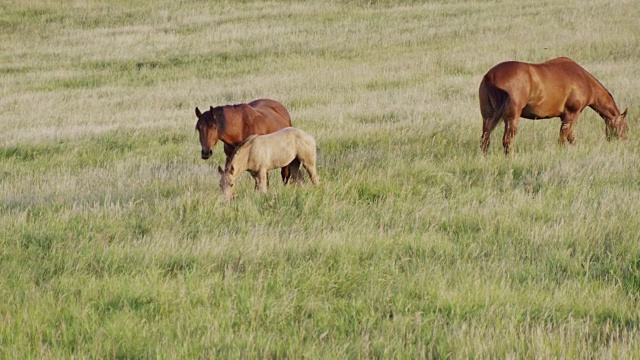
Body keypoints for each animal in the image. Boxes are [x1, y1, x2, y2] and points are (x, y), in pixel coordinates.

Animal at [480, 57, 624, 154]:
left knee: (485, 139)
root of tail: (490, 76)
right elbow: (563, 138)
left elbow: (571, 138)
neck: (585, 80)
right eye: (624, 127)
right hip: (512, 118)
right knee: (507, 141)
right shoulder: (570, 115)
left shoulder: (567, 117)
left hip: (487, 117)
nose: (623, 143)